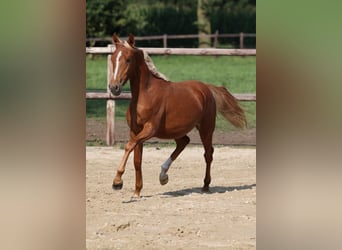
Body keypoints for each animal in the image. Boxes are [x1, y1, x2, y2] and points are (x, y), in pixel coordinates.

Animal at [109, 33, 246, 197]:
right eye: (112, 58)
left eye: (128, 59)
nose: (114, 87)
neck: (145, 95)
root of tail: (206, 88)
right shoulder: (135, 131)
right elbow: (137, 160)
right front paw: (136, 192)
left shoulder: (150, 129)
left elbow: (128, 146)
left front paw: (117, 181)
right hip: (175, 130)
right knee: (184, 142)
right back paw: (163, 176)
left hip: (206, 129)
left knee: (208, 153)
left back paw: (205, 186)